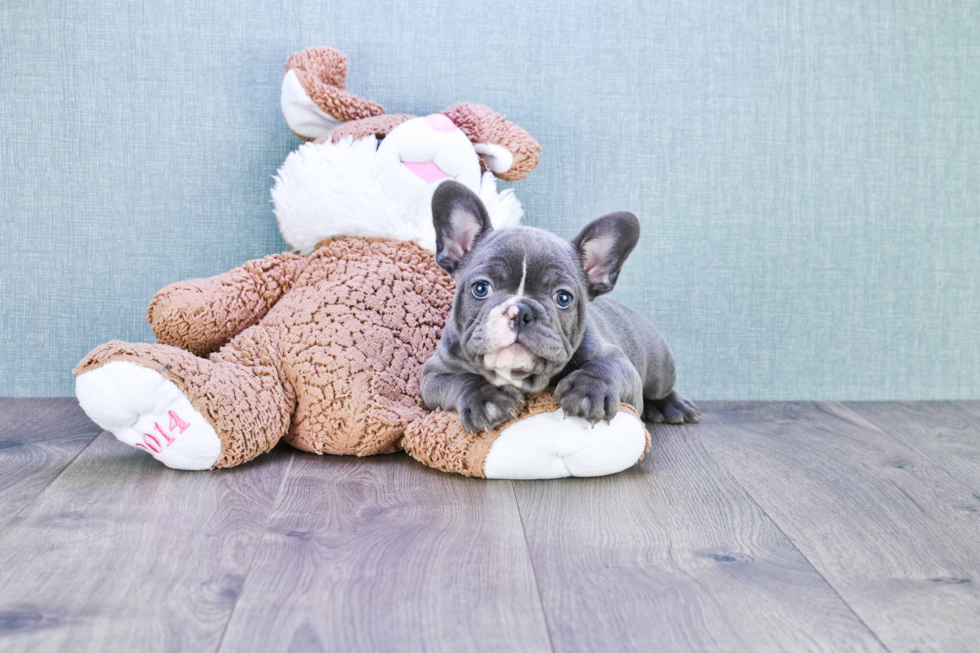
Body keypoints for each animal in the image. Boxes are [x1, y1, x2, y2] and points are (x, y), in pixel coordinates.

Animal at [422, 181, 696, 432]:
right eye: (480, 288)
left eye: (563, 298)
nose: (520, 312)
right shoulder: (433, 375)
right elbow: (461, 380)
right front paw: (486, 397)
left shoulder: (620, 362)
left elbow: (606, 367)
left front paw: (589, 390)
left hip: (660, 370)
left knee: (661, 390)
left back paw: (673, 406)